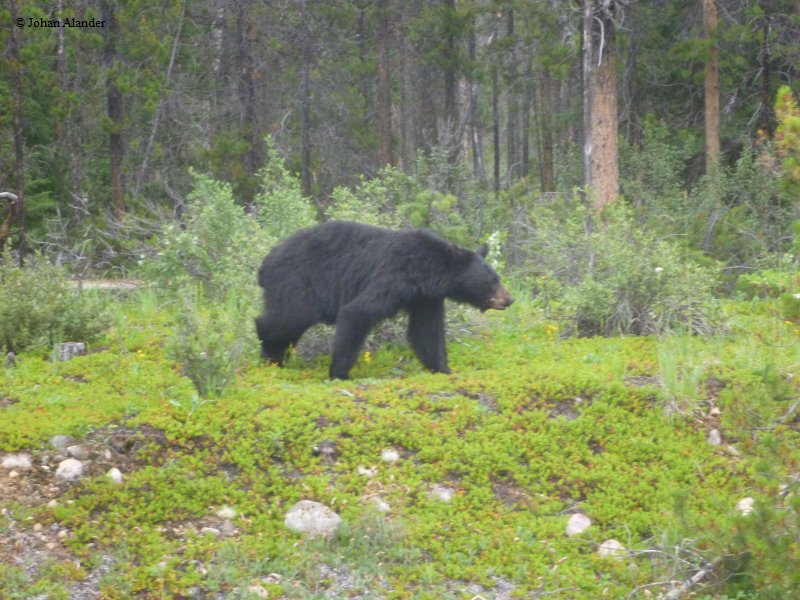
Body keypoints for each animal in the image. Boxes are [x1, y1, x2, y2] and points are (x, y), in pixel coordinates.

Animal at [260, 220, 516, 380]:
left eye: (497, 278)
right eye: (491, 281)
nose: (509, 299)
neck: (425, 272)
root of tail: (266, 261)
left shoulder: (426, 298)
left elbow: (427, 331)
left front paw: (443, 369)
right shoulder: (393, 276)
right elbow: (357, 311)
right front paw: (339, 374)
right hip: (298, 281)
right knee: (285, 319)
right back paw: (271, 356)